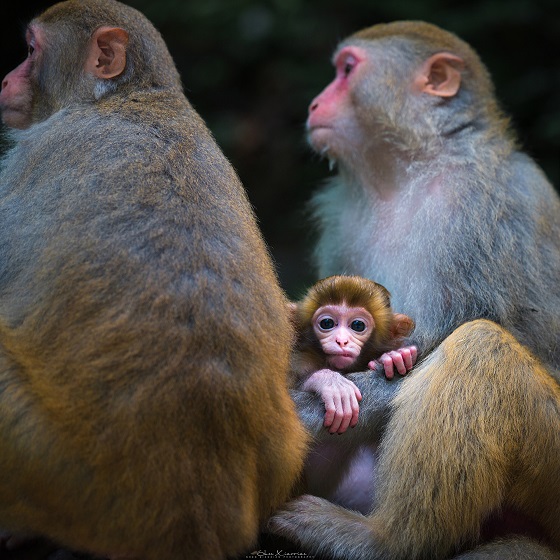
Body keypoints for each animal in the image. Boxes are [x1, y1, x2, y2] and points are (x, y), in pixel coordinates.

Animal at [0, 1, 308, 560]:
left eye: (30, 50)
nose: (6, 78)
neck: (133, 96)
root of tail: (201, 511)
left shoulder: (34, 154)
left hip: (51, 471)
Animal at [288, 276, 416, 434]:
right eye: (327, 323)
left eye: (357, 325)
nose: (341, 341)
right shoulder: (302, 359)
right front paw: (330, 382)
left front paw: (394, 357)